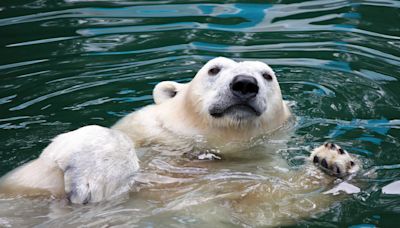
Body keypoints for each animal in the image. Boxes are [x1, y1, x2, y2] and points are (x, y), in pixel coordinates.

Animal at [0, 56, 358, 206]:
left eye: (267, 75)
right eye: (214, 69)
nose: (244, 84)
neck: (207, 149)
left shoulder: (254, 173)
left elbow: (272, 202)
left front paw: (332, 161)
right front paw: (93, 176)